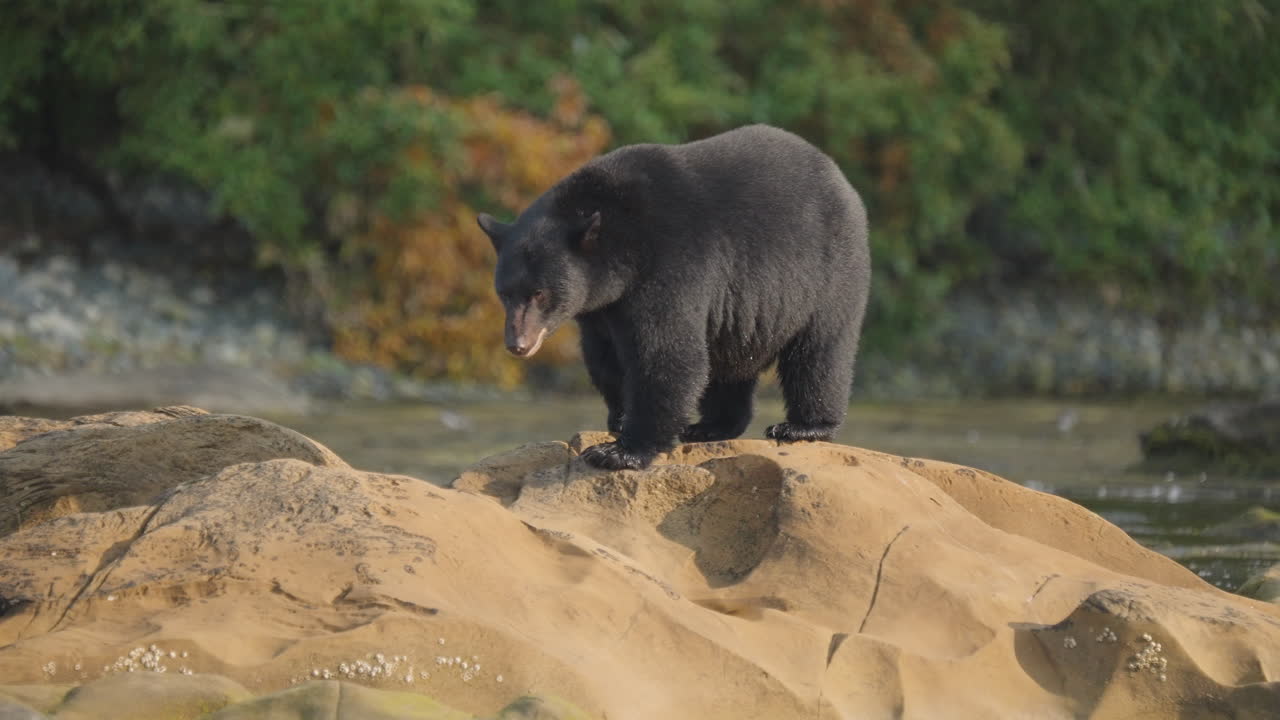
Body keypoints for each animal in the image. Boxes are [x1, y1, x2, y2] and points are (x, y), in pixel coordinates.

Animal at [477, 124, 870, 471]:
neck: (622, 246)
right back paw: (711, 426)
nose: (517, 344)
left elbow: (667, 352)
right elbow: (605, 357)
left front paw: (620, 452)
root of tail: (838, 175)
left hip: (829, 274)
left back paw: (802, 426)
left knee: (819, 351)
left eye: (540, 293)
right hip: (742, 314)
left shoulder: (670, 265)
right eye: (504, 294)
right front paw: (620, 419)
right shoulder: (601, 309)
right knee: (728, 363)